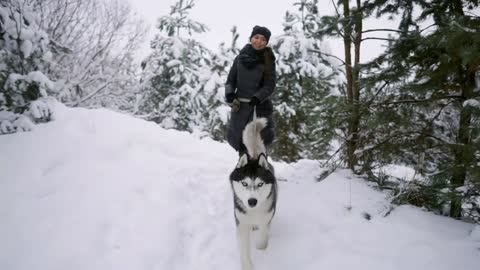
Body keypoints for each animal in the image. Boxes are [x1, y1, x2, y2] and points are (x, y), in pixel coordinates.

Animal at [229, 117, 278, 270]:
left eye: (260, 184)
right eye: (244, 183)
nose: (252, 201)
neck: (254, 211)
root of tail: (255, 157)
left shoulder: (266, 219)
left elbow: (262, 239)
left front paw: (262, 250)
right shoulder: (241, 225)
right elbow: (244, 250)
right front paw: (247, 266)